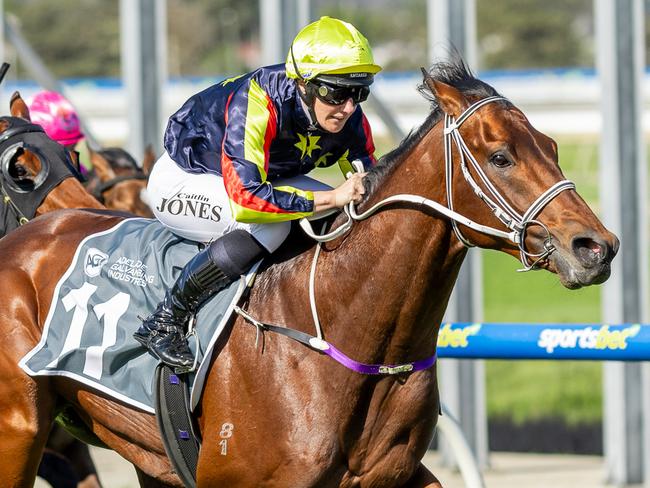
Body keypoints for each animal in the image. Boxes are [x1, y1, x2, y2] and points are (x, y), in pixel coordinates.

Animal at [0, 62, 616, 488]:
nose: (596, 247)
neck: (349, 330)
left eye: (553, 146)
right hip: (21, 430)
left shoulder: (395, 475)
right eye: (500, 156)